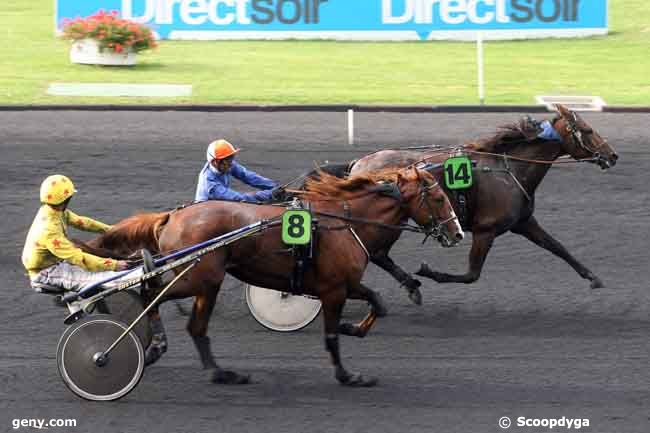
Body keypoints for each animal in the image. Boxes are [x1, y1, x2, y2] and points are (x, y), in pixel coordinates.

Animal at [87, 165, 460, 384]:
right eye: (439, 198)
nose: (456, 233)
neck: (345, 222)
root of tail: (171, 217)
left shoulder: (342, 285)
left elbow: (377, 303)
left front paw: (351, 327)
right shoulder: (336, 288)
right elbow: (334, 334)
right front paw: (348, 374)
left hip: (206, 283)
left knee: (195, 325)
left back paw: (221, 372)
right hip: (198, 277)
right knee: (153, 294)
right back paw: (156, 347)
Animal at [326, 105, 616, 302]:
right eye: (588, 131)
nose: (613, 155)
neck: (508, 169)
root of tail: (358, 164)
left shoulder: (524, 222)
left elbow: (557, 247)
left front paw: (593, 278)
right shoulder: (486, 229)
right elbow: (471, 275)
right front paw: (430, 272)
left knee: (378, 254)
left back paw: (408, 286)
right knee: (376, 253)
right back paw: (408, 285)